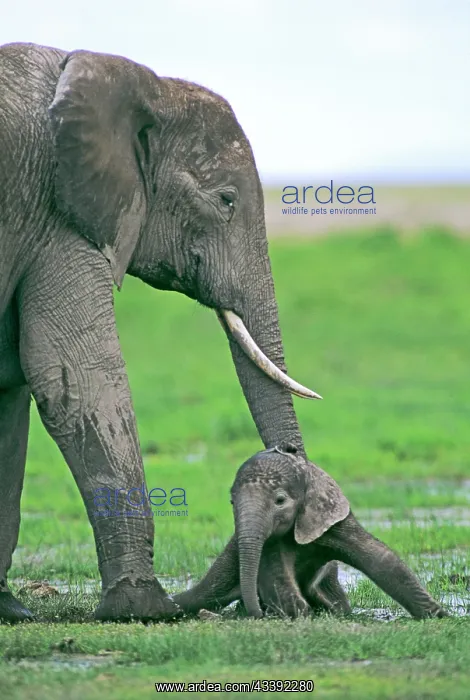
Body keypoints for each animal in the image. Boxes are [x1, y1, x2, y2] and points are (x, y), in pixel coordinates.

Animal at [0, 42, 324, 623]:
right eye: (225, 201)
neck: (140, 83)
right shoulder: (61, 214)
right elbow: (75, 379)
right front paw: (142, 610)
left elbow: (11, 385)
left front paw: (11, 612)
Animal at [174, 448, 448, 620]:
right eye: (232, 502)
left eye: (280, 501)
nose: (259, 614)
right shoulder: (272, 542)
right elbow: (279, 579)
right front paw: (301, 614)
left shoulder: (332, 520)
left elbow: (381, 560)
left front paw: (440, 616)